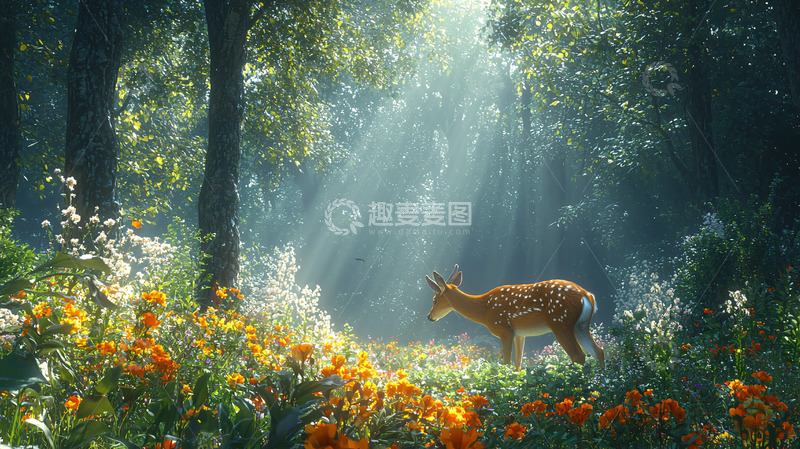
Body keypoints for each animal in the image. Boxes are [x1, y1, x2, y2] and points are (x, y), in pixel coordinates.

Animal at [426, 265, 604, 370]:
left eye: (434, 300)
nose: (429, 317)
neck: (484, 309)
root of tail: (587, 295)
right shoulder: (520, 334)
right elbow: (518, 365)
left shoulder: (504, 329)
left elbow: (506, 363)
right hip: (581, 325)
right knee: (599, 351)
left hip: (560, 321)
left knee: (578, 356)